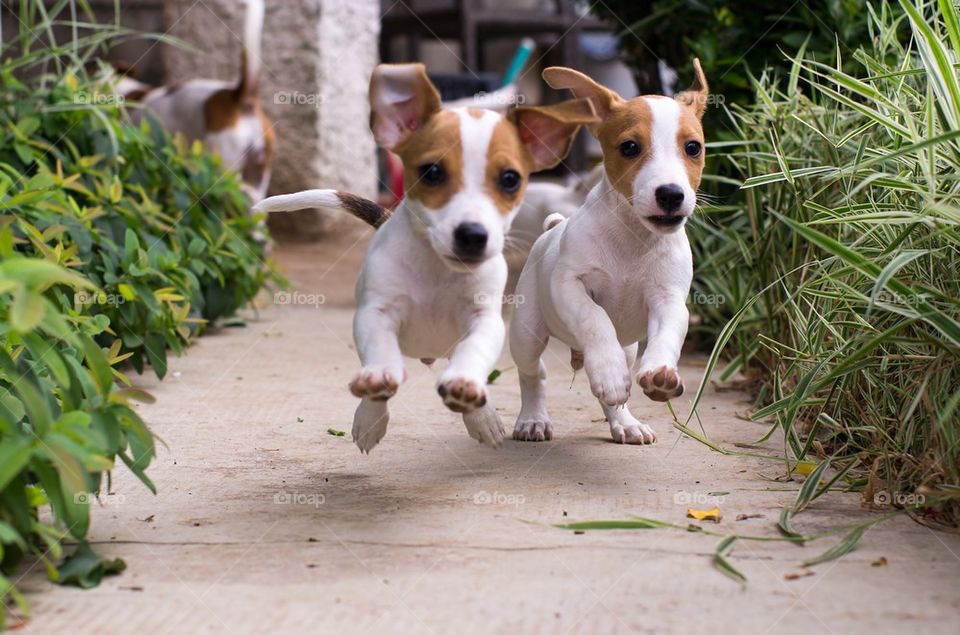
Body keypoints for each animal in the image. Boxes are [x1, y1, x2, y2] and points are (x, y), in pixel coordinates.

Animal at [251, 63, 596, 452]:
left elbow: (473, 351)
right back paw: (371, 417)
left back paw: (482, 416)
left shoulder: (484, 321)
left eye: (510, 179)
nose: (472, 235)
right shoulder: (376, 314)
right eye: (432, 172)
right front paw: (374, 396)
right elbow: (380, 355)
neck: (436, 268)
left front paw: (468, 390)